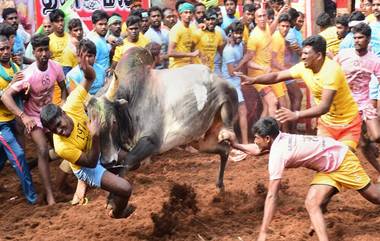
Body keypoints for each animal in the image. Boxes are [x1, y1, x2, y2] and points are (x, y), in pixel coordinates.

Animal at [87, 47, 239, 189]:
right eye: (91, 126)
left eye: (113, 121)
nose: (107, 162)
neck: (132, 97)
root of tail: (218, 78)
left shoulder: (152, 142)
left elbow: (128, 161)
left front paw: (112, 198)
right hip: (199, 140)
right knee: (224, 150)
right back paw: (220, 186)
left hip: (226, 107)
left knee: (228, 137)